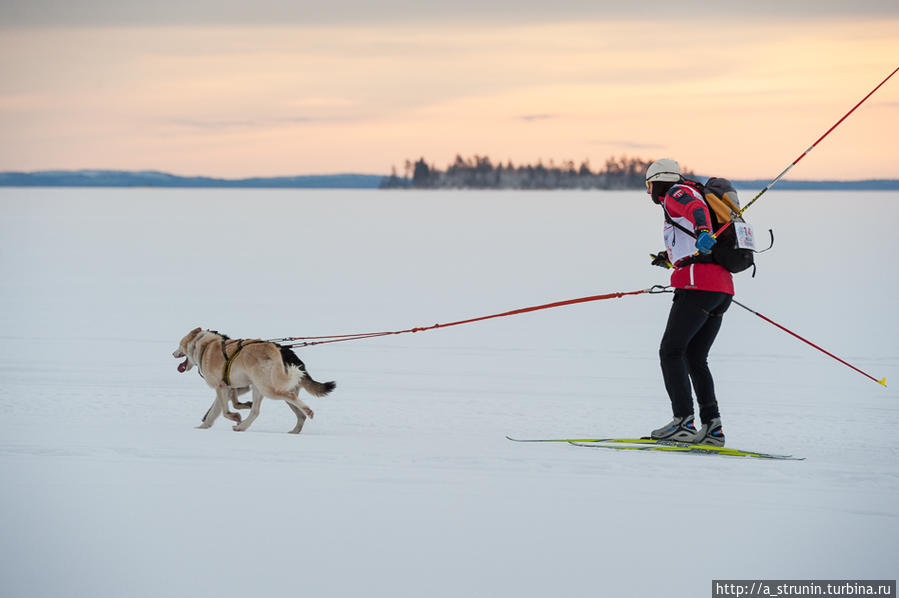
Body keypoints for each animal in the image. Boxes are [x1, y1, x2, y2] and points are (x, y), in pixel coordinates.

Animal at [172, 330, 334, 434]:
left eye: (179, 344)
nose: (173, 353)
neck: (206, 345)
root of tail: (273, 348)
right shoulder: (229, 387)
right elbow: (216, 410)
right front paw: (203, 426)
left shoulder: (221, 387)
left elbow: (225, 410)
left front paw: (235, 416)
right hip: (259, 388)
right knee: (257, 411)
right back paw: (242, 427)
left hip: (267, 388)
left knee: (292, 399)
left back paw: (308, 411)